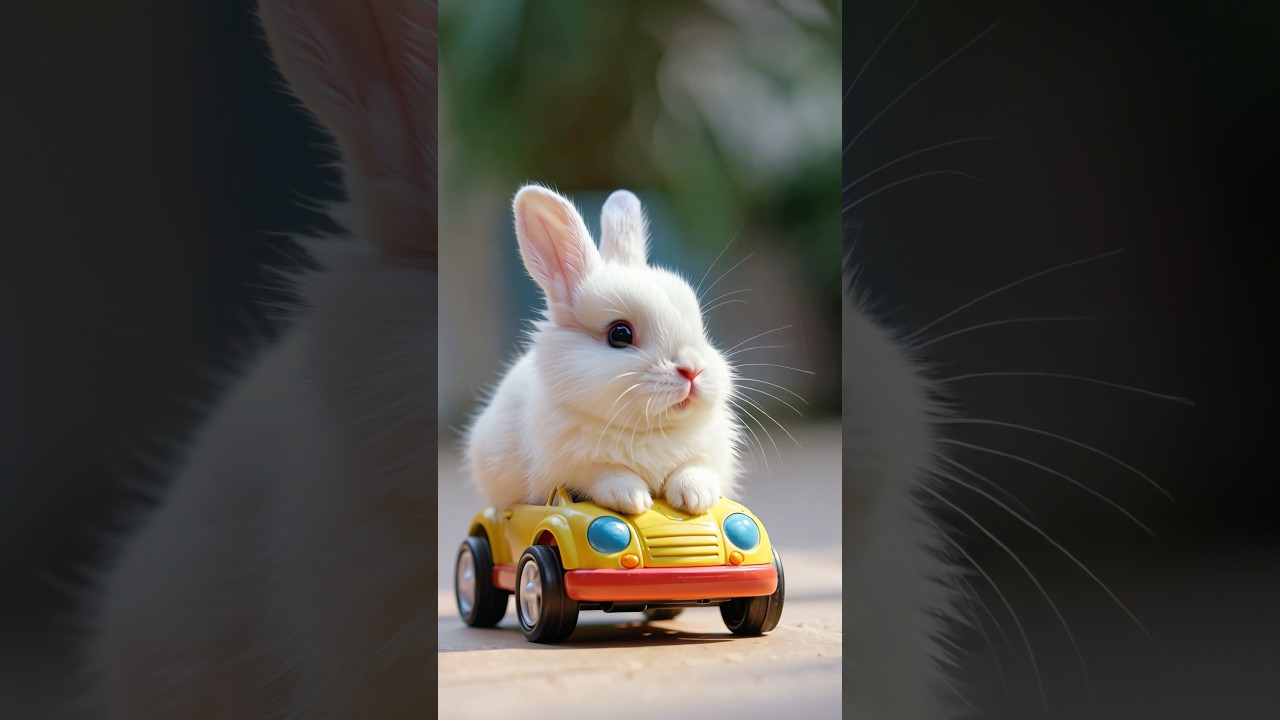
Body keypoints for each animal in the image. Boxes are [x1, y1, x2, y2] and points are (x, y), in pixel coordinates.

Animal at [465, 185, 744, 517]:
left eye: (701, 328)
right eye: (619, 334)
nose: (692, 371)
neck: (650, 432)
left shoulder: (709, 454)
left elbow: (696, 468)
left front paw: (696, 497)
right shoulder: (572, 466)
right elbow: (604, 474)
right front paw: (632, 498)